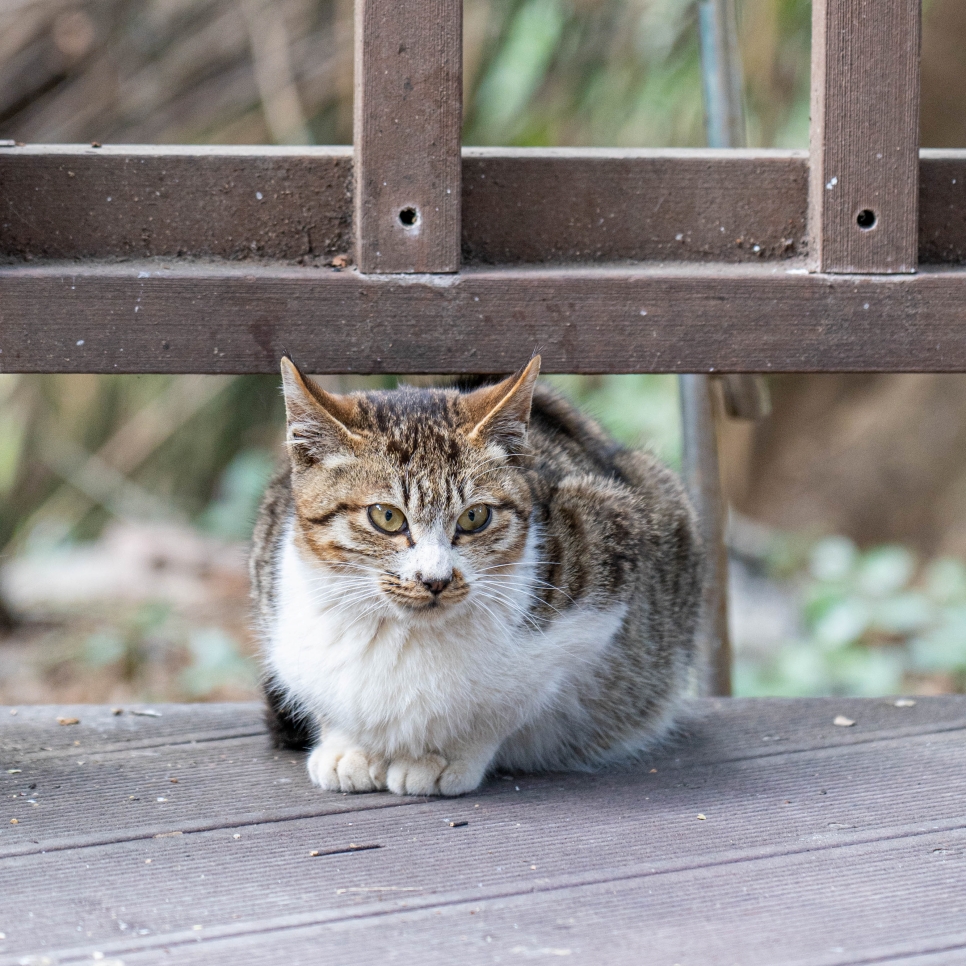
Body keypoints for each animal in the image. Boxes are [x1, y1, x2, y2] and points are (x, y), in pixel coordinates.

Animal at [250, 360, 704, 796]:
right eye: (387, 516)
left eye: (475, 516)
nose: (435, 579)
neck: (405, 634)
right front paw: (349, 748)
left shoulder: (604, 562)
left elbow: (505, 704)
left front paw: (442, 756)